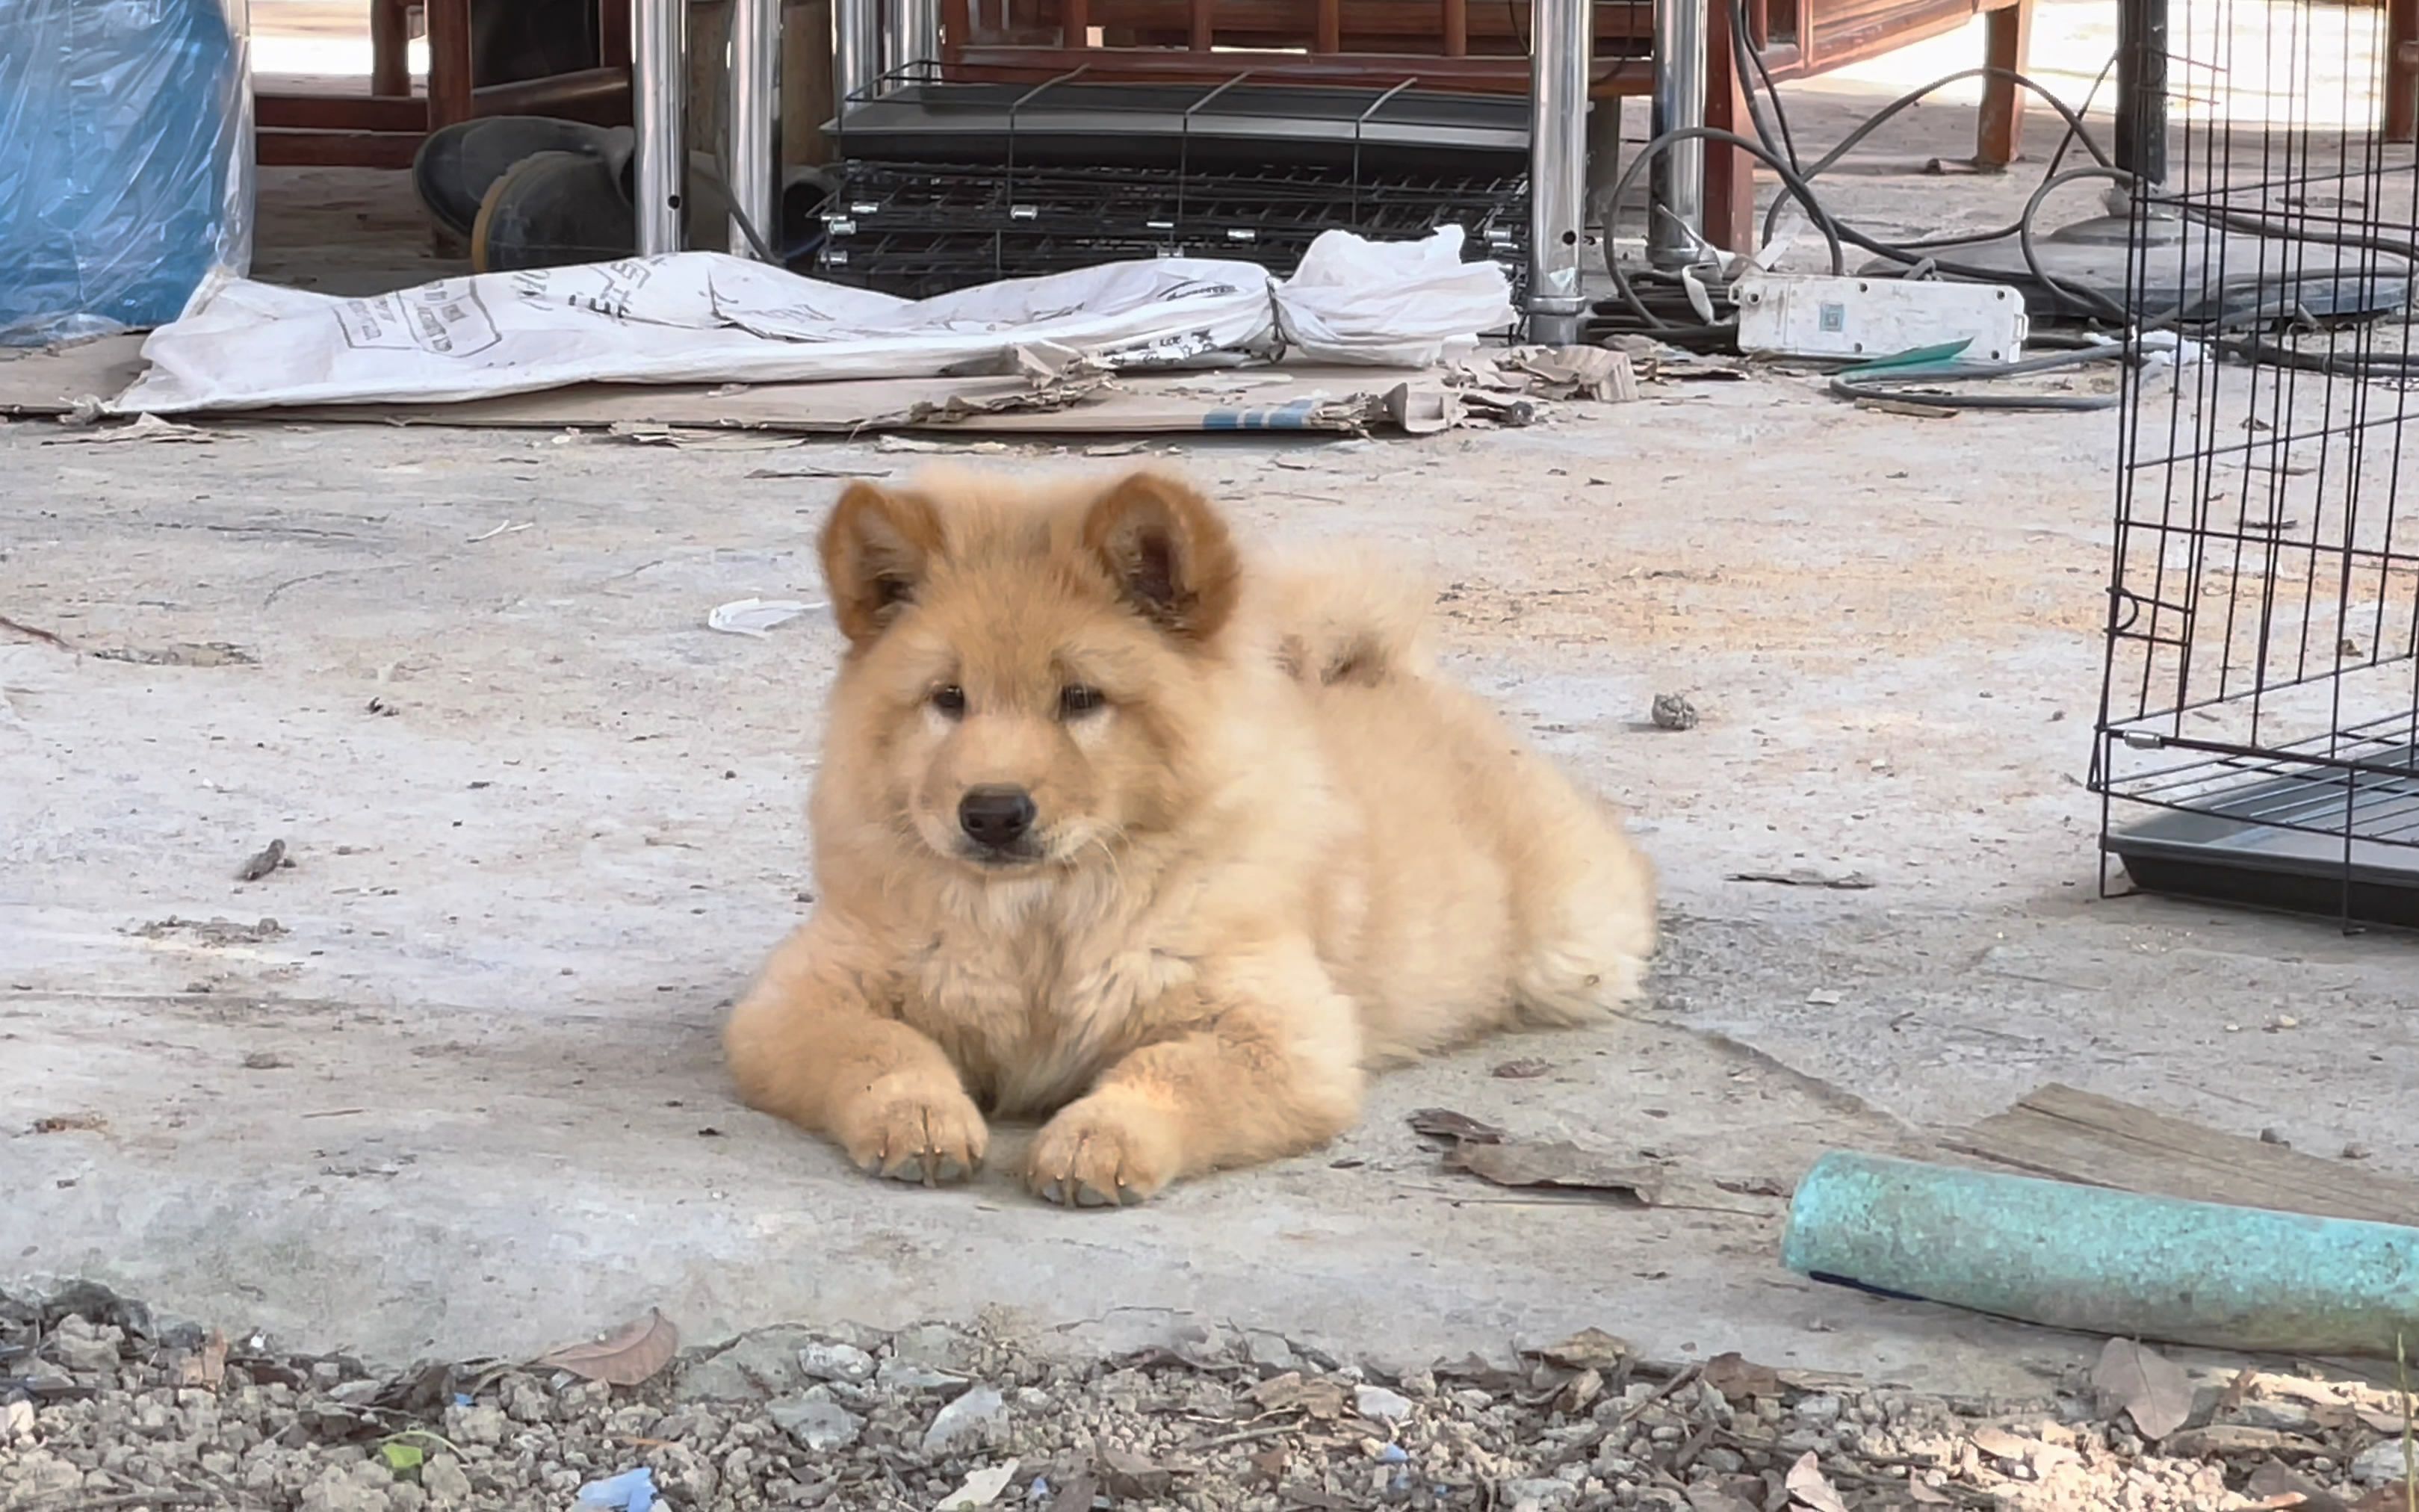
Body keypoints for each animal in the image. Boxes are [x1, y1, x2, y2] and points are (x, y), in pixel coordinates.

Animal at [725, 469, 1654, 1204]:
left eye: (1081, 698)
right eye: (947, 698)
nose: (990, 811)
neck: (1041, 918)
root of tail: (1387, 672)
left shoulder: (1283, 1032)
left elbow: (1166, 1071)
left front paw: (1096, 1140)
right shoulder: (799, 997)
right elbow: (883, 1045)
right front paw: (920, 1115)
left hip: (1570, 952)